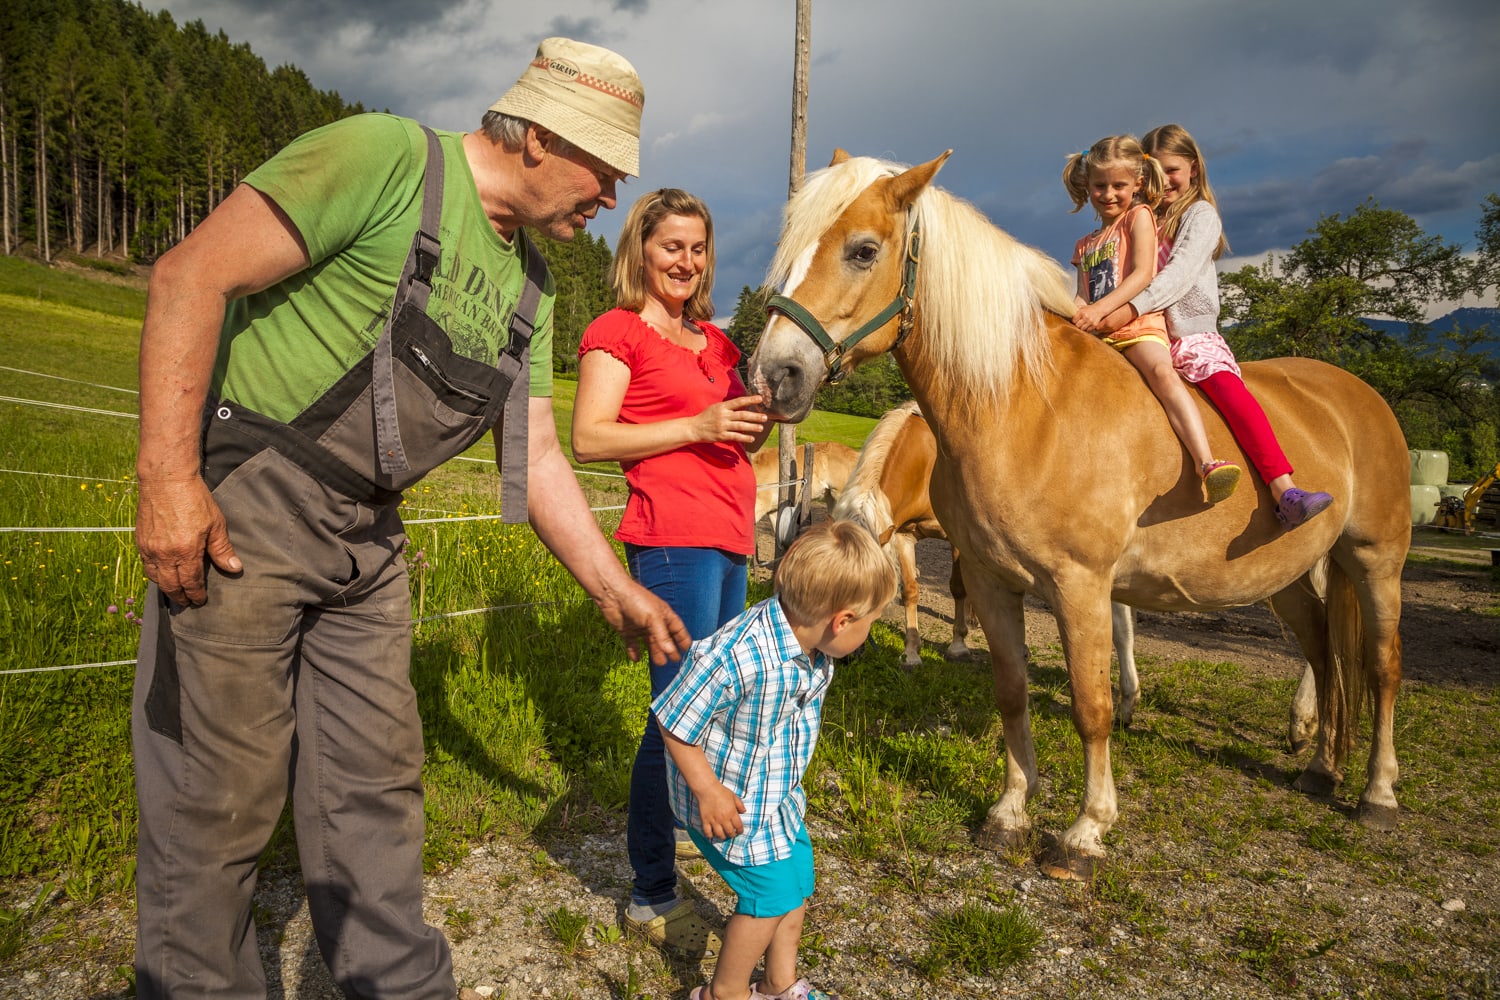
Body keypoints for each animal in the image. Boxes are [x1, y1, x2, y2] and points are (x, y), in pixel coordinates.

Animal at [748, 149, 1408, 879]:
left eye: (863, 250)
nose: (773, 375)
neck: (1025, 405)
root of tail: (1355, 392)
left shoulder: (1082, 586)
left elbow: (1091, 707)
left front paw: (1086, 829)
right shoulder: (992, 581)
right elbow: (1010, 691)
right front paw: (1010, 813)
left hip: (1375, 559)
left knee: (1381, 666)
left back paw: (1377, 794)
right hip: (1285, 573)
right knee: (1322, 648)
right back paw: (1320, 767)